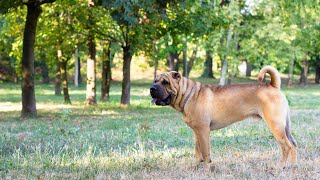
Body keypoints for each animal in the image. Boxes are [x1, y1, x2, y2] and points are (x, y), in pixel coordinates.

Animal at [151, 65, 298, 170]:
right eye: (155, 81)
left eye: (165, 82)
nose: (152, 88)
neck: (188, 94)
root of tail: (273, 85)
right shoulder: (196, 131)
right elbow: (197, 150)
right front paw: (196, 166)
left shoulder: (203, 131)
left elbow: (205, 152)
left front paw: (207, 169)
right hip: (285, 127)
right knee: (293, 144)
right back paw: (293, 166)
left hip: (275, 126)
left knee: (286, 146)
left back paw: (281, 166)